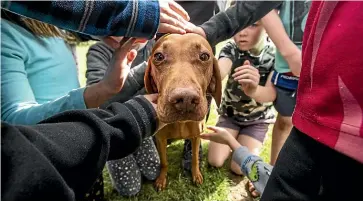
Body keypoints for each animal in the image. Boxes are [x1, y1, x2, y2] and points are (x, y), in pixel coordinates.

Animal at [144, 33, 223, 191]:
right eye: (159, 56)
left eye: (204, 56)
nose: (186, 99)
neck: (180, 123)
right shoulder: (161, 139)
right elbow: (164, 162)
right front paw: (161, 179)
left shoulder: (196, 136)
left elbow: (194, 159)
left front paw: (196, 174)